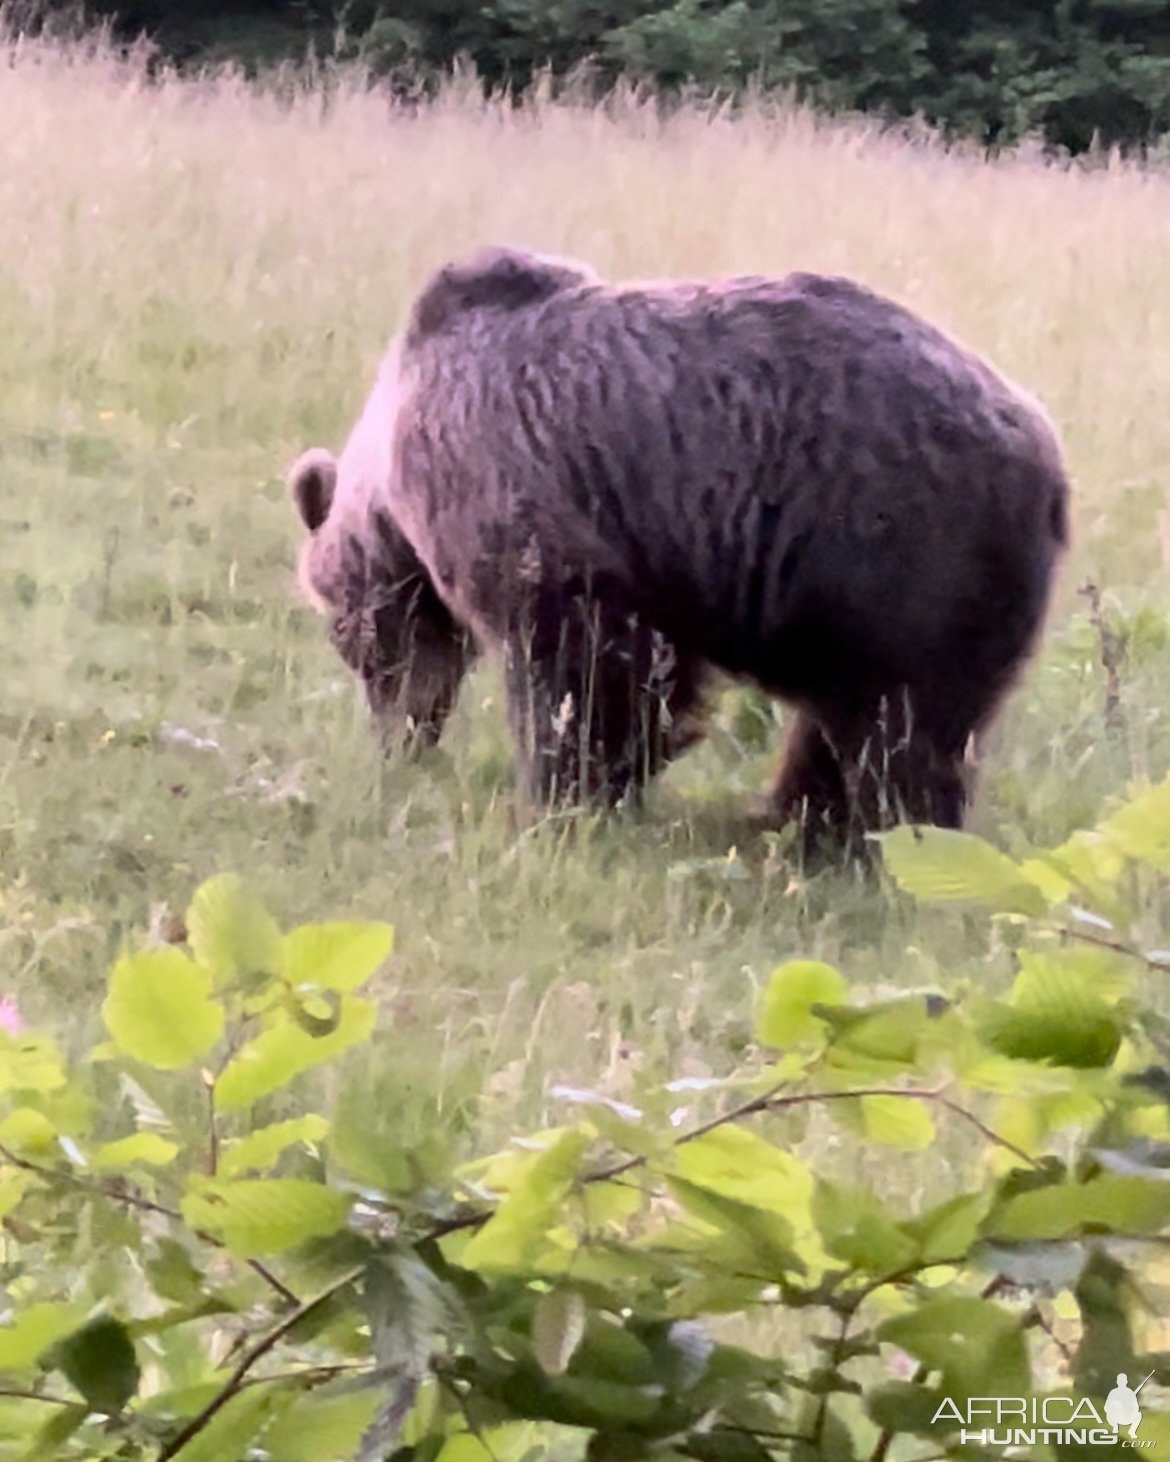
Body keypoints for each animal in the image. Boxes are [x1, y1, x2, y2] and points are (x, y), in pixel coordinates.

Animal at [292, 241, 1070, 853]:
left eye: (349, 641)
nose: (400, 741)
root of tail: (1047, 451)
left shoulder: (518, 488)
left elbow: (573, 659)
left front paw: (560, 796)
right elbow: (655, 673)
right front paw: (624, 772)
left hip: (904, 549)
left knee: (903, 726)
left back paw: (872, 838)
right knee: (849, 718)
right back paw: (791, 819)